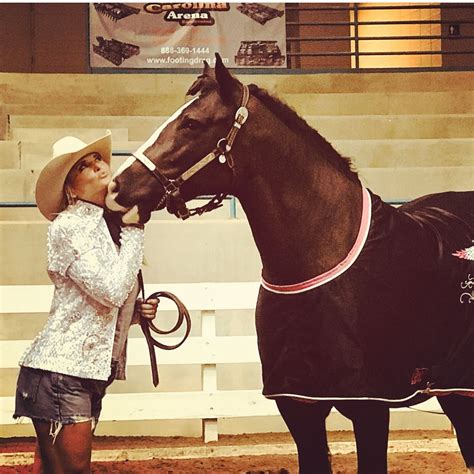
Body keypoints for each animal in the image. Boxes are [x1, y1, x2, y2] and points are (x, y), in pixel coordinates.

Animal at [107, 56, 474, 474]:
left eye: (191, 123)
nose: (116, 189)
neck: (321, 257)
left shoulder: (369, 406)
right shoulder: (297, 404)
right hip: (454, 391)